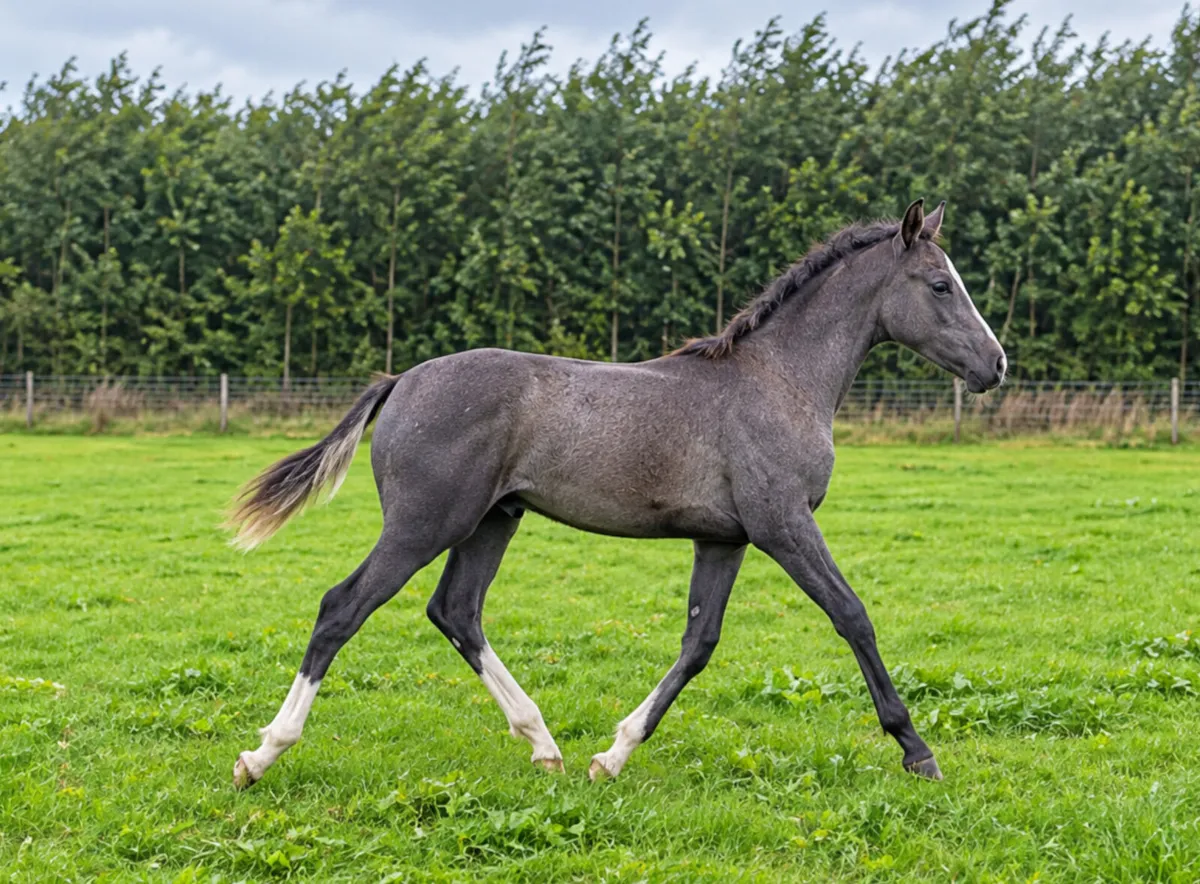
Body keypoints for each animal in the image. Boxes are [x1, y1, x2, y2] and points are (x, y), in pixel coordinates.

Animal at [226, 198, 1006, 789]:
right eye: (940, 285)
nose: (997, 364)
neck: (778, 380)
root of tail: (399, 381)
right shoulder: (783, 525)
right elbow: (852, 616)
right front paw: (918, 752)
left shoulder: (723, 539)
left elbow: (699, 643)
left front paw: (613, 754)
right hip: (425, 523)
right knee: (343, 607)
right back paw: (261, 755)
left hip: (492, 521)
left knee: (456, 611)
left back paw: (544, 744)